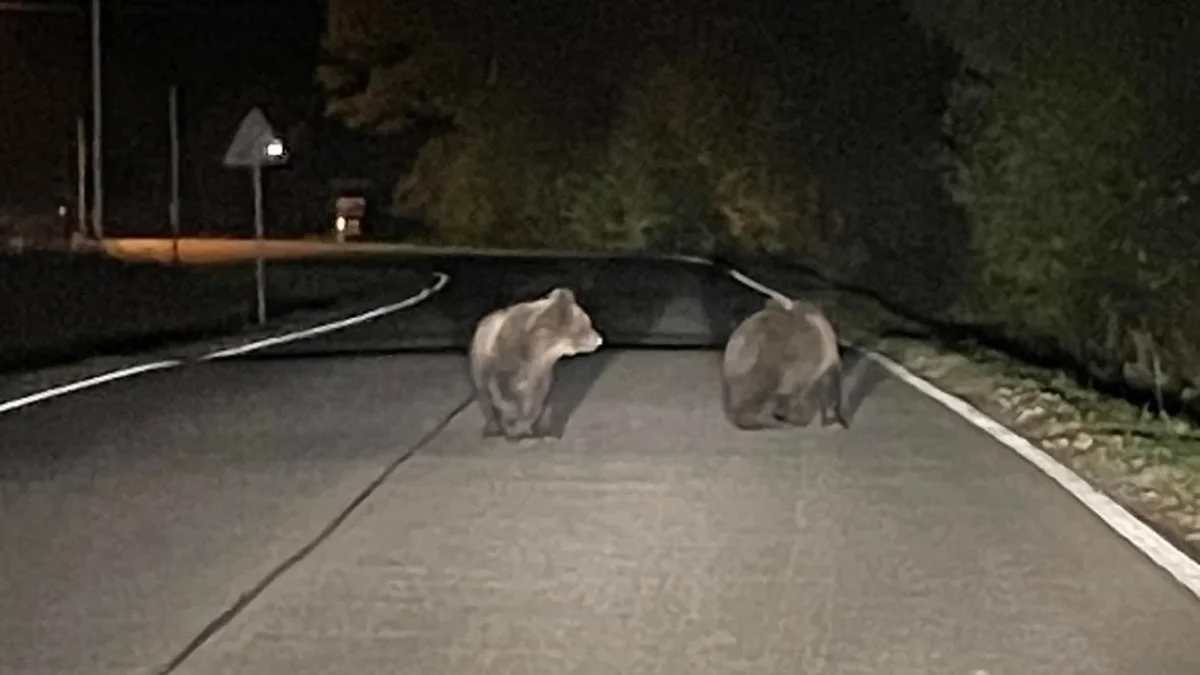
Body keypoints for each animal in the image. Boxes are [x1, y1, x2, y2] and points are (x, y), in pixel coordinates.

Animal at [465, 284, 600, 439]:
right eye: (587, 323)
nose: (599, 339)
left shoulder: (541, 373)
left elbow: (536, 401)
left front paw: (534, 428)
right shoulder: (501, 367)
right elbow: (502, 398)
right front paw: (513, 427)